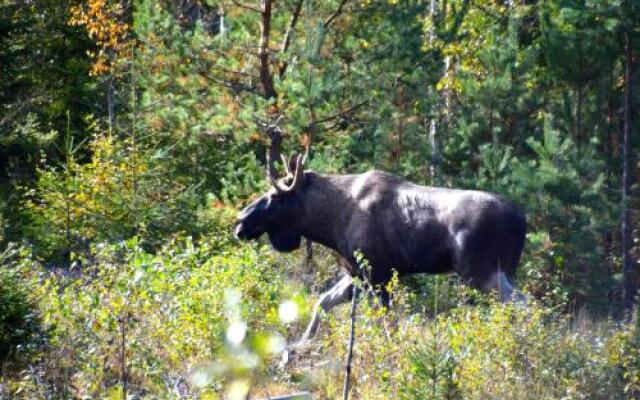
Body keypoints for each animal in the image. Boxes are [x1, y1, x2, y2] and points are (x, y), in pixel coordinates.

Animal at [235, 152, 524, 342]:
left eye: (273, 195)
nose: (240, 220)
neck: (329, 222)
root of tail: (522, 221)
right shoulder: (356, 272)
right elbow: (323, 302)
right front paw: (299, 346)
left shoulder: (376, 273)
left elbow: (386, 322)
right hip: (500, 271)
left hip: (481, 272)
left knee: (521, 303)